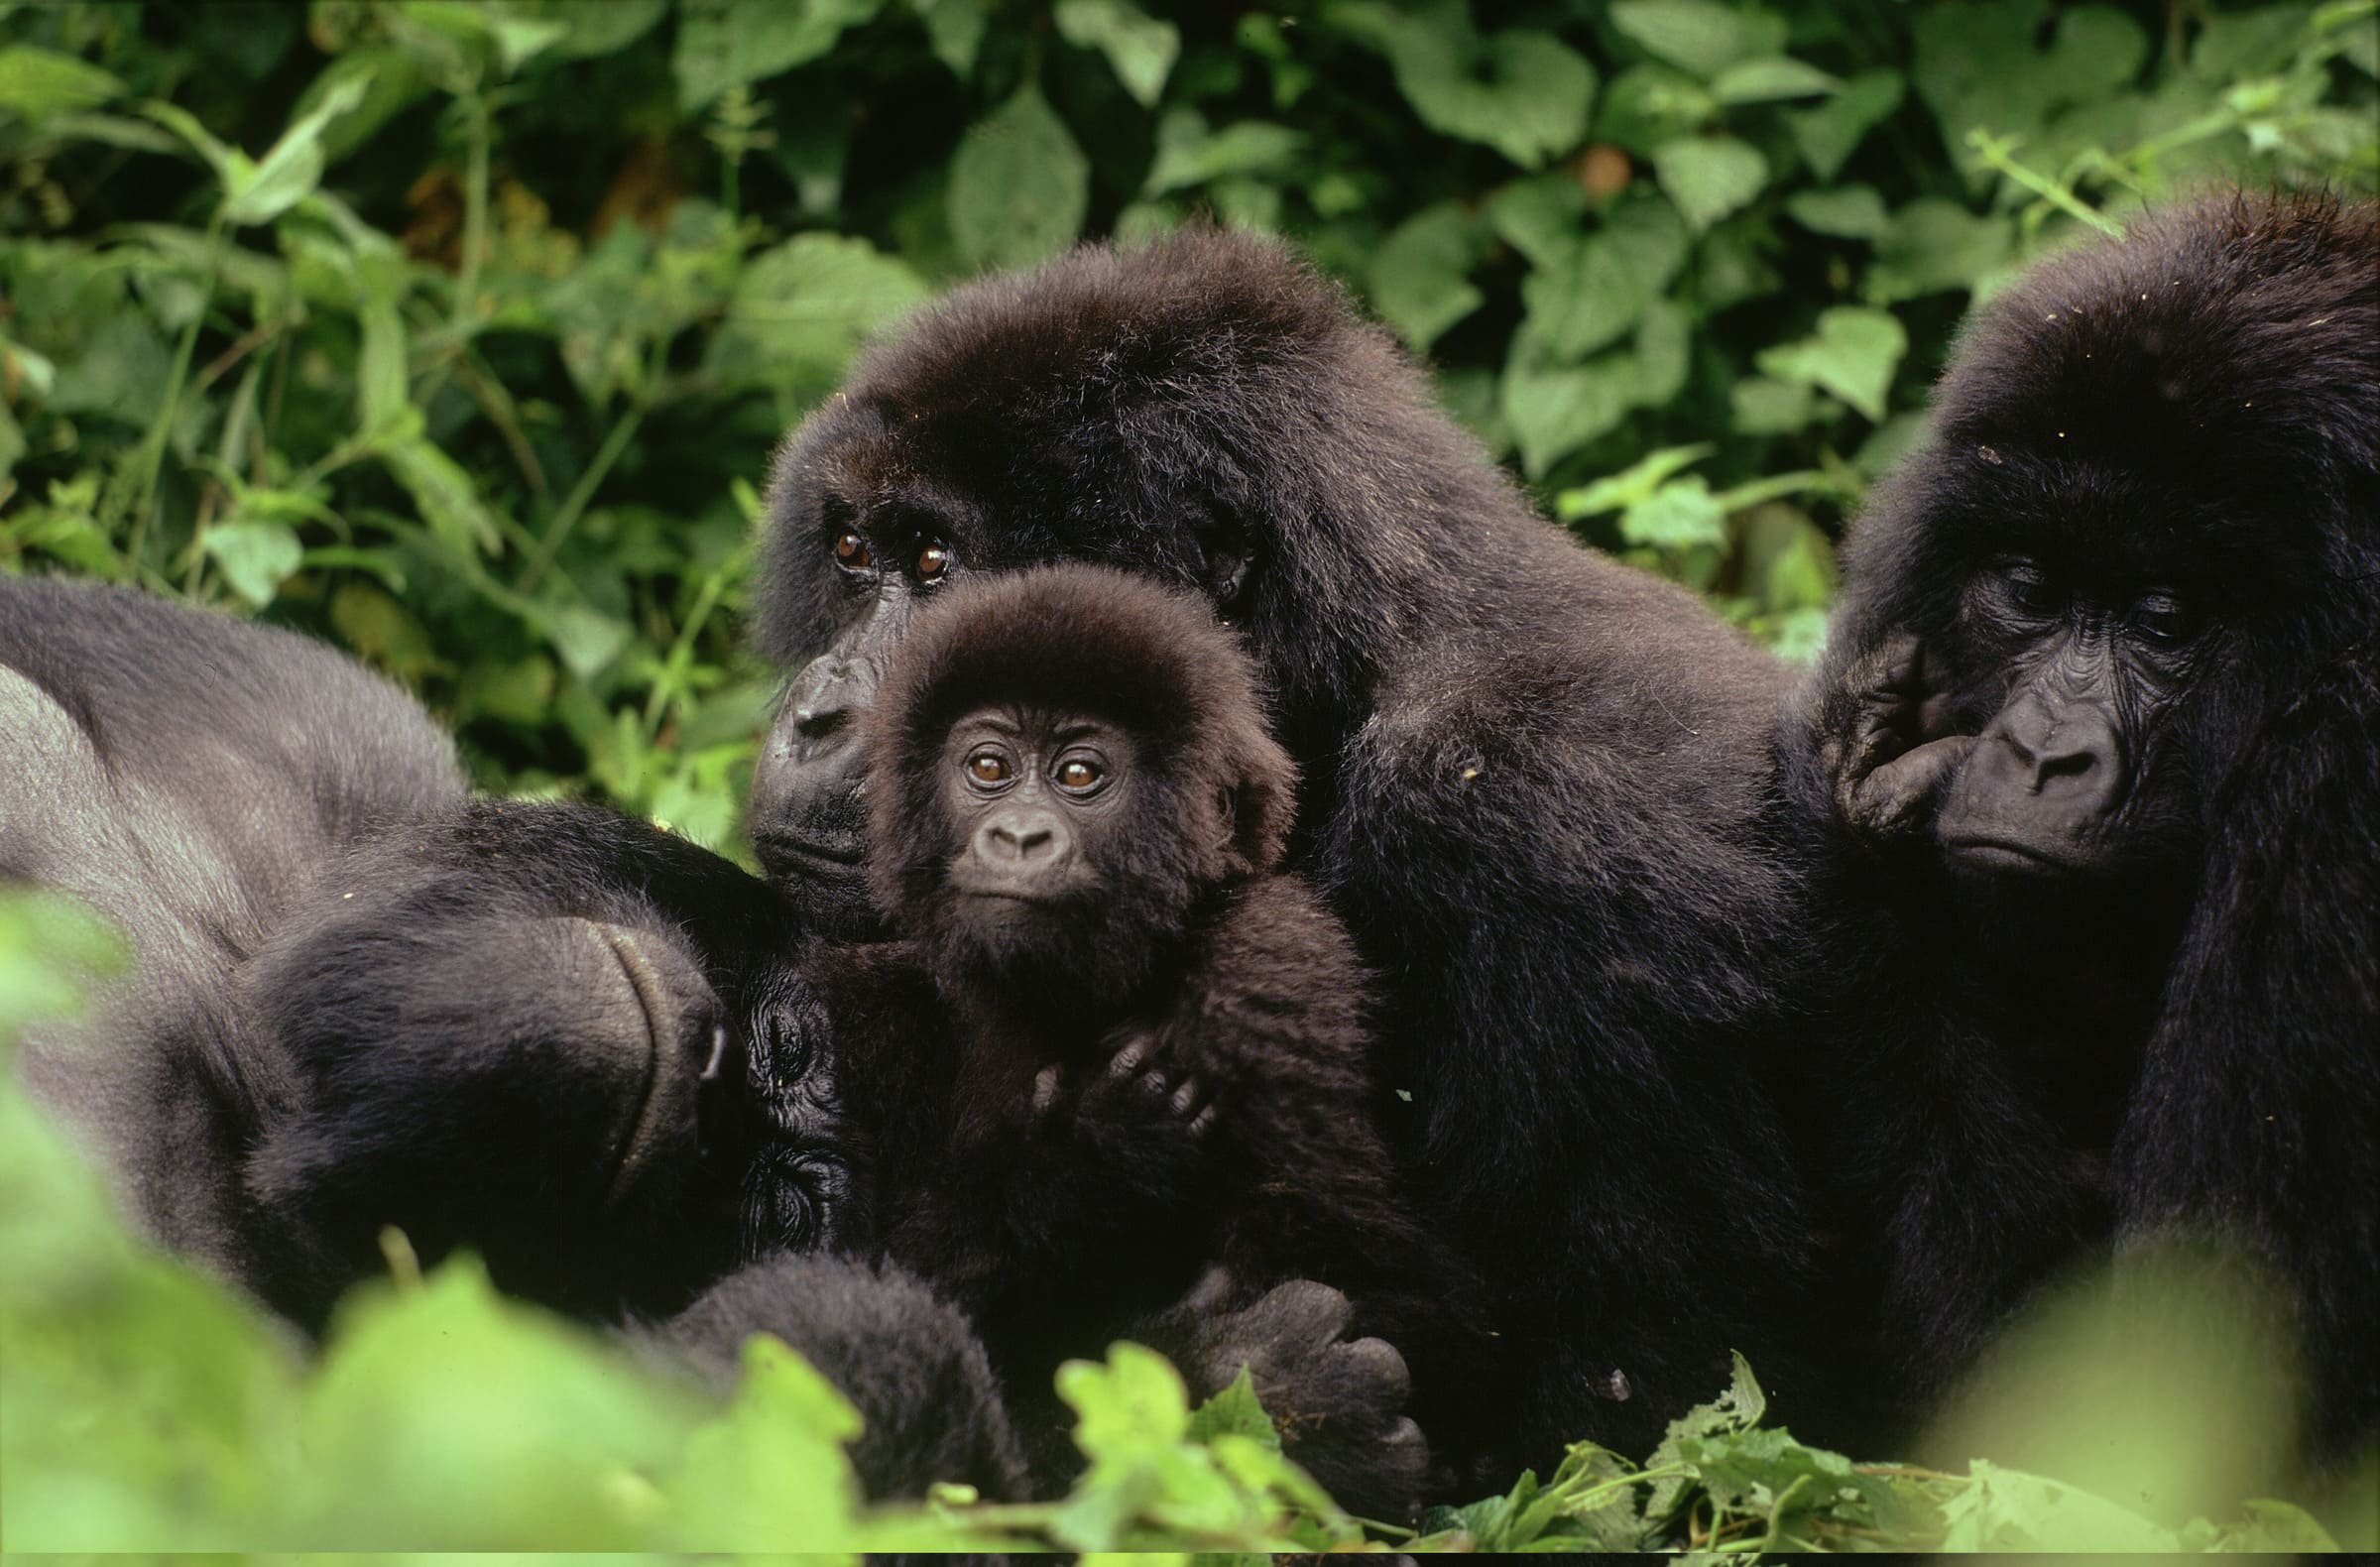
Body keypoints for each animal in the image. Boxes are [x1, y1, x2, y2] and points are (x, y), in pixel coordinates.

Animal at [752, 226, 1828, 1457]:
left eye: (934, 564)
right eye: (851, 552)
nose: (817, 714)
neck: (1341, 677)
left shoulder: (1548, 815)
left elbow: (1650, 1409)